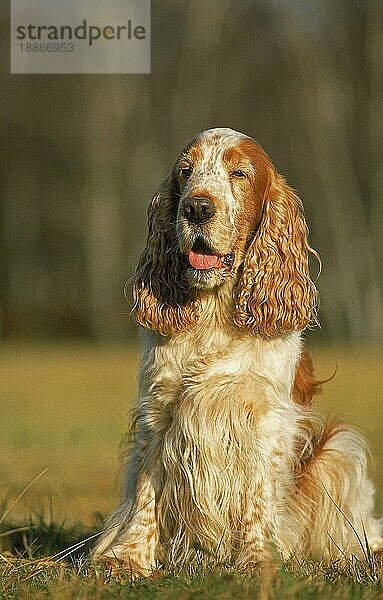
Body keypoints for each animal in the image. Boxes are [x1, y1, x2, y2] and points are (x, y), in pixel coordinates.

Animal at [94, 129, 383, 576]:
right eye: (185, 171)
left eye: (239, 174)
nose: (196, 207)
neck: (213, 316)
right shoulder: (157, 412)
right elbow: (144, 494)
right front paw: (128, 558)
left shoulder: (265, 419)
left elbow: (259, 498)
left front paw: (258, 562)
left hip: (339, 450)